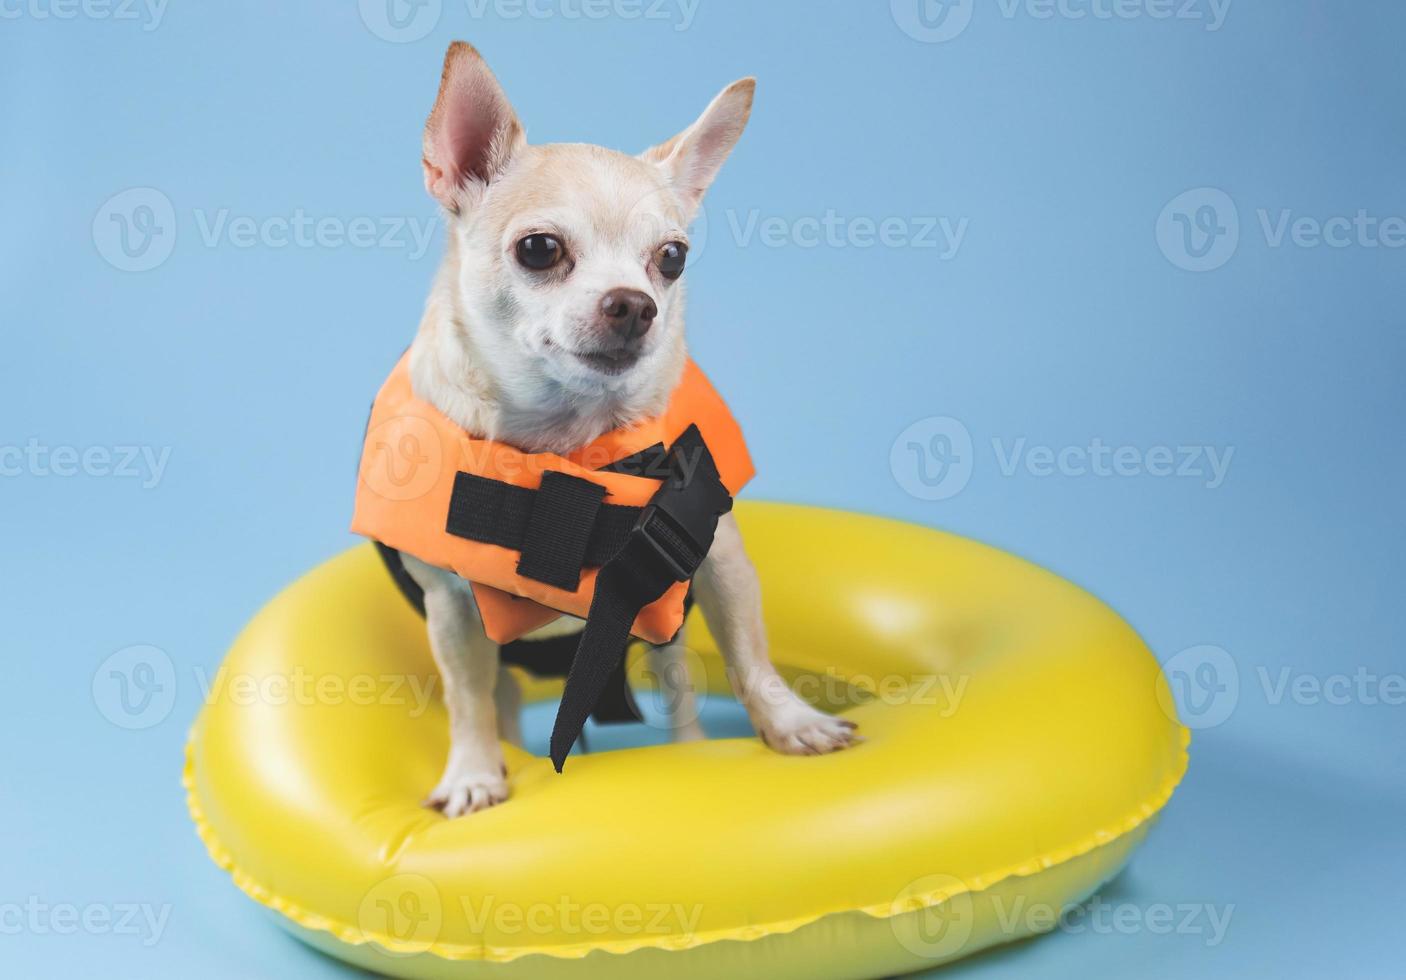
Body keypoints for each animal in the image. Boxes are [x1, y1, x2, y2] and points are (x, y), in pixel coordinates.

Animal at [396, 42, 854, 815]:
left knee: (681, 700)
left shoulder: (722, 562)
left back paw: (691, 750)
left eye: (672, 258)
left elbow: (750, 655)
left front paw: (791, 722)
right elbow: (464, 700)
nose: (637, 304)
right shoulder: (450, 610)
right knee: (501, 699)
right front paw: (473, 774)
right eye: (539, 249)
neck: (569, 445)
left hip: (665, 641)